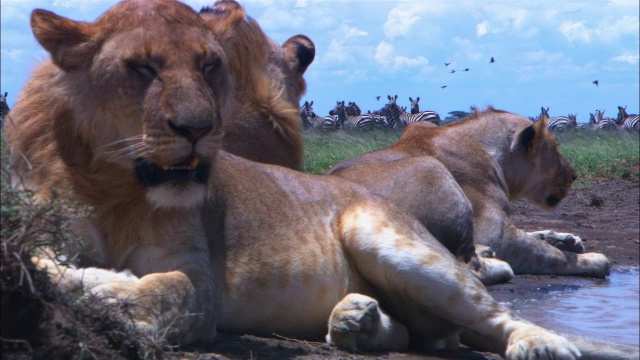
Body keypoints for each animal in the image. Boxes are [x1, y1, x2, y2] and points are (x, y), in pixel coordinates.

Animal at [328, 107, 612, 284]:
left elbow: (536, 235)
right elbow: (549, 254)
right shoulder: (496, 235)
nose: (574, 175)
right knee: (466, 267)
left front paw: (567, 239)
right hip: (430, 168)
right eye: (554, 147)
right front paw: (591, 260)